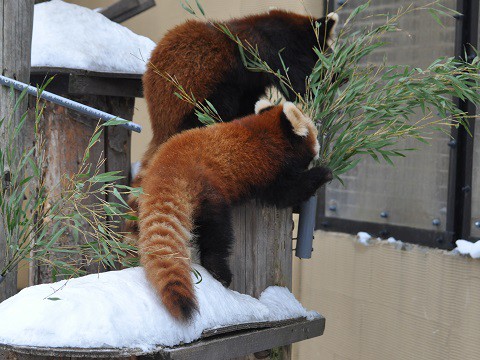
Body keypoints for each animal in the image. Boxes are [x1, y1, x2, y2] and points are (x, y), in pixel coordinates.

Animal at [139, 100, 332, 322]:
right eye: (314, 134)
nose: (319, 149)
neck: (271, 132)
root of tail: (165, 167)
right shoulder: (270, 168)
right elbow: (286, 193)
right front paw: (323, 173)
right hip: (209, 192)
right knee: (217, 233)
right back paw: (220, 271)